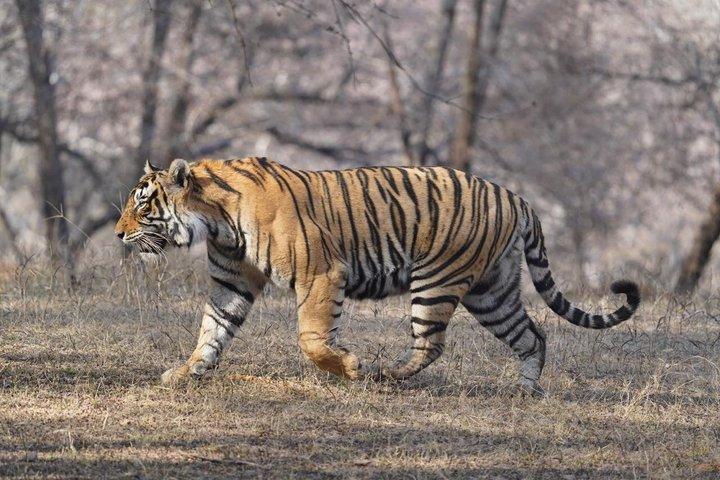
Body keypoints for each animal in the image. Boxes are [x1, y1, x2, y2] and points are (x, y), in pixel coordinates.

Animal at [114, 157, 640, 395]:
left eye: (142, 204)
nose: (119, 234)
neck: (216, 218)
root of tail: (517, 198)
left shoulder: (321, 272)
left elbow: (311, 336)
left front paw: (347, 366)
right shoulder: (232, 281)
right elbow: (212, 329)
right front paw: (187, 371)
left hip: (437, 280)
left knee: (430, 344)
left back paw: (383, 375)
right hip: (492, 292)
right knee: (531, 336)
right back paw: (526, 391)